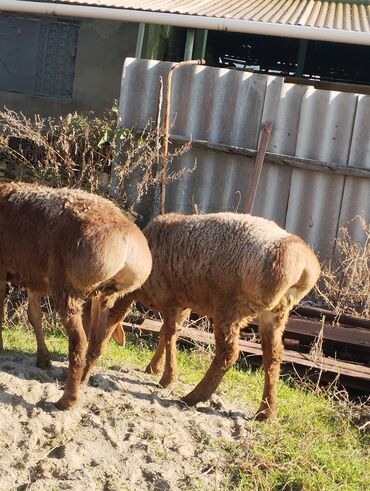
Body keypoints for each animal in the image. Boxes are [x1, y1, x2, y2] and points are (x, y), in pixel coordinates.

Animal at [0, 183, 152, 410]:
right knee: (98, 341)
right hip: (104, 296)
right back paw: (82, 380)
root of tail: (128, 246)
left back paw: (66, 400)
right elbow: (34, 315)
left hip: (68, 288)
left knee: (78, 341)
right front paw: (43, 359)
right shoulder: (34, 277)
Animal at [111, 213, 320, 420]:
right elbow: (166, 333)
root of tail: (300, 262)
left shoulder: (172, 299)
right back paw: (265, 411)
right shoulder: (185, 303)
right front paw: (154, 368)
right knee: (273, 356)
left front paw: (167, 378)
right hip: (275, 314)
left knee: (228, 353)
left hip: (229, 306)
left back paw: (193, 397)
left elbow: (169, 335)